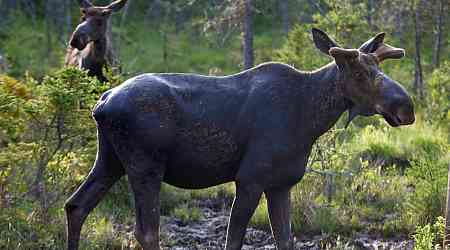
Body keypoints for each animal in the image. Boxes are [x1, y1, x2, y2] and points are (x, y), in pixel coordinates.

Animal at [64, 28, 414, 249]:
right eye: (360, 73)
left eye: (377, 66)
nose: (406, 107)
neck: (311, 118)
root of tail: (101, 104)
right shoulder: (249, 179)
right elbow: (233, 240)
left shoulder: (280, 184)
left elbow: (285, 239)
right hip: (144, 167)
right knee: (147, 232)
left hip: (110, 161)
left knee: (76, 206)